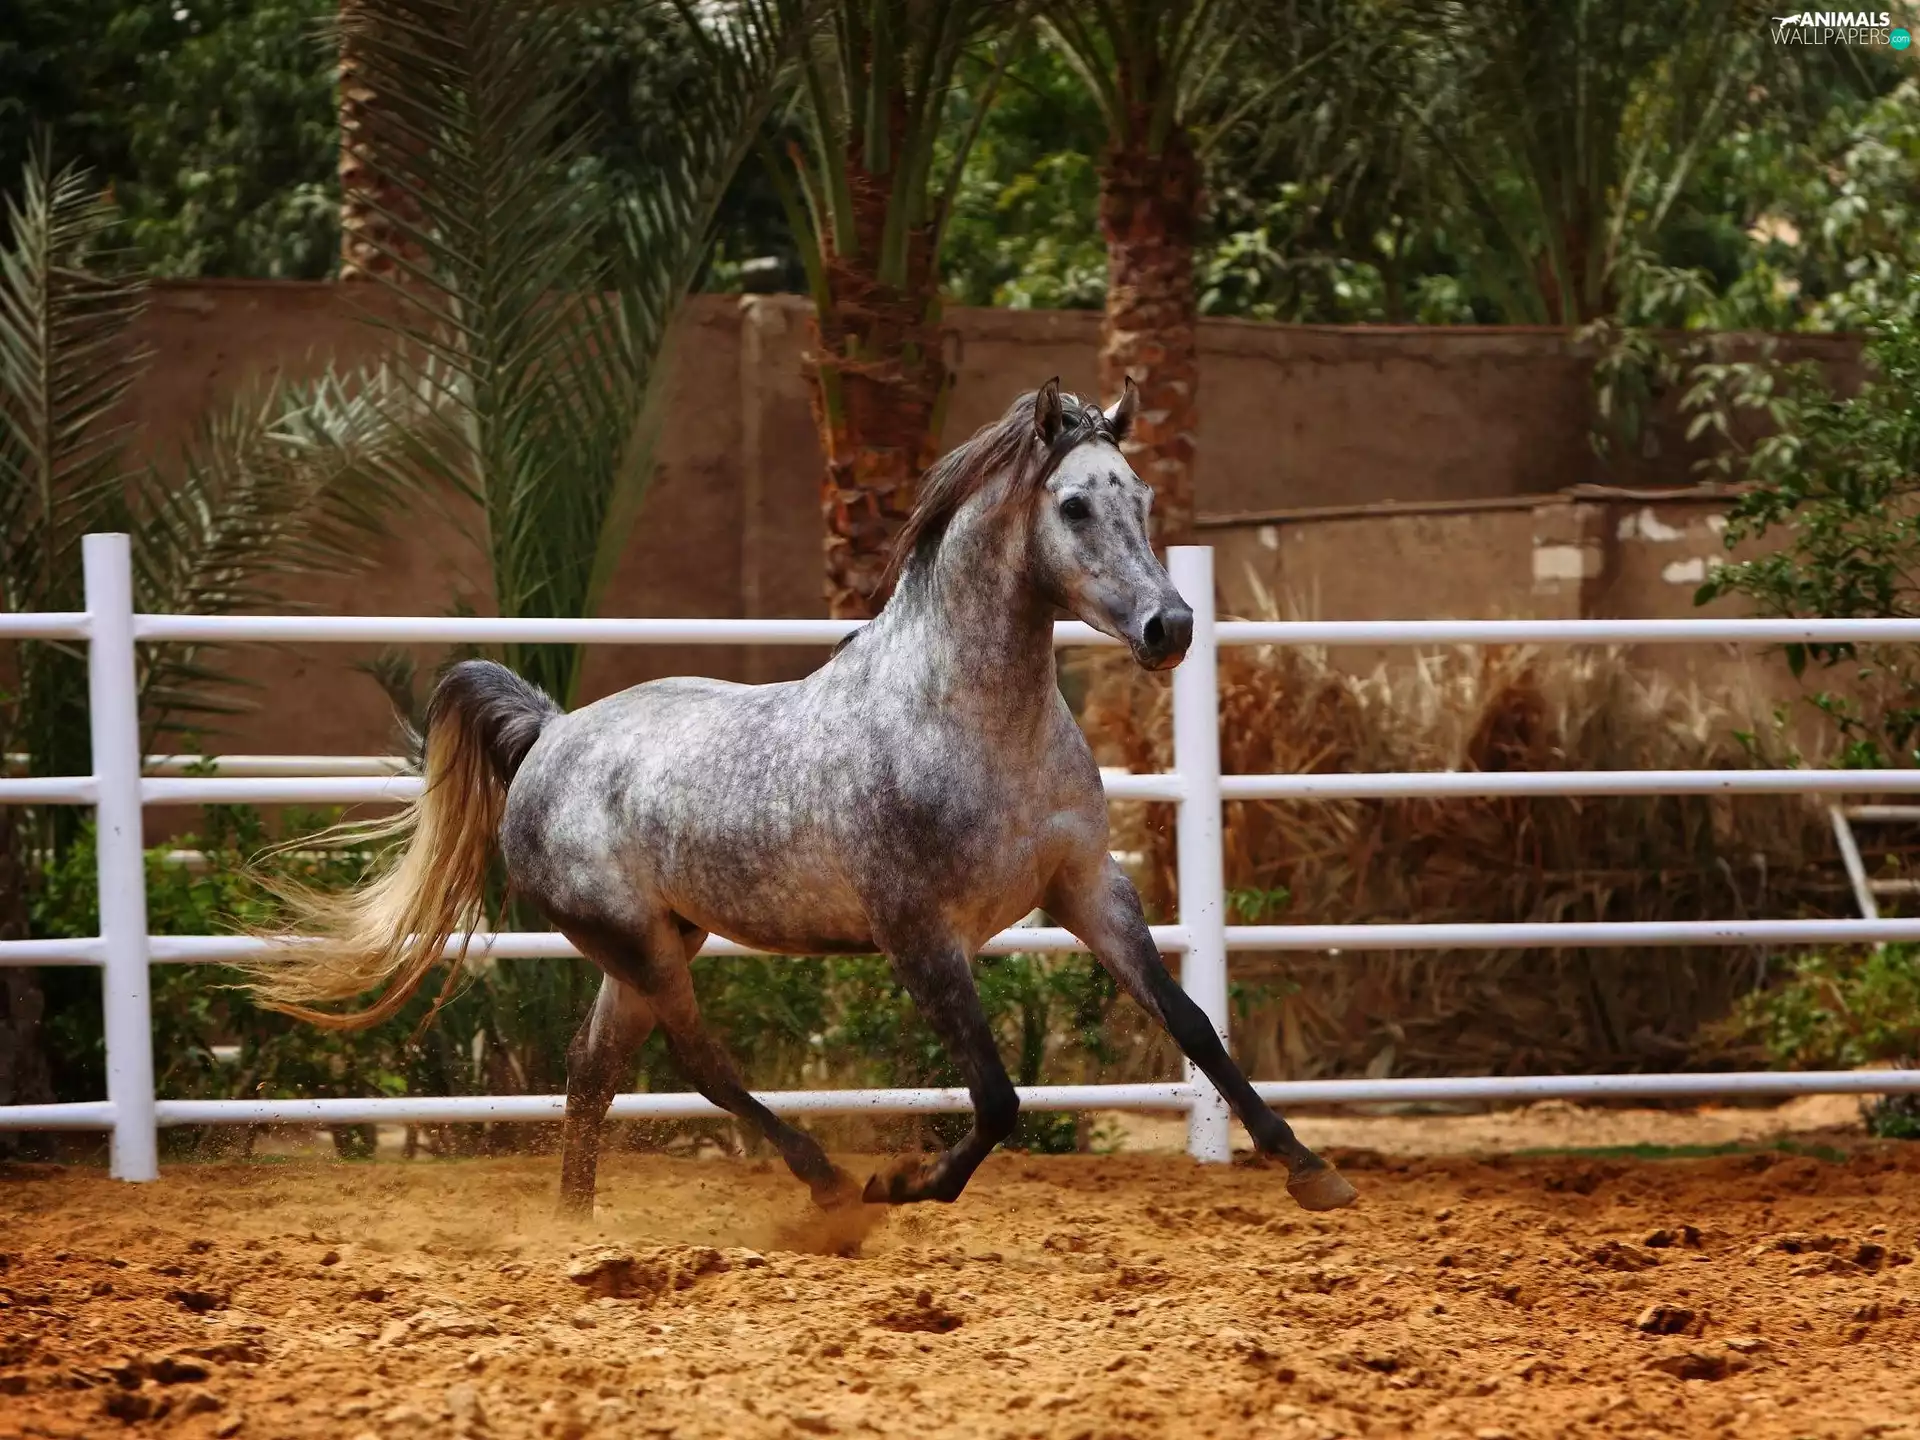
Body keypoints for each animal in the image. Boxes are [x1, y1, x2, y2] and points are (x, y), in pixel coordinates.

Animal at [244, 379, 1357, 1217]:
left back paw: (576, 1223)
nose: (1171, 627)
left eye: (1145, 500)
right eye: (1075, 505)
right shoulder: (919, 933)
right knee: (696, 1064)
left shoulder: (1088, 889)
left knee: (593, 1069)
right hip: (634, 942)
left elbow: (1193, 1025)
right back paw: (827, 1184)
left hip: (657, 941)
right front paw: (909, 1187)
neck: (965, 723)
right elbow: (998, 1096)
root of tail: (552, 733)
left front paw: (1311, 1171)